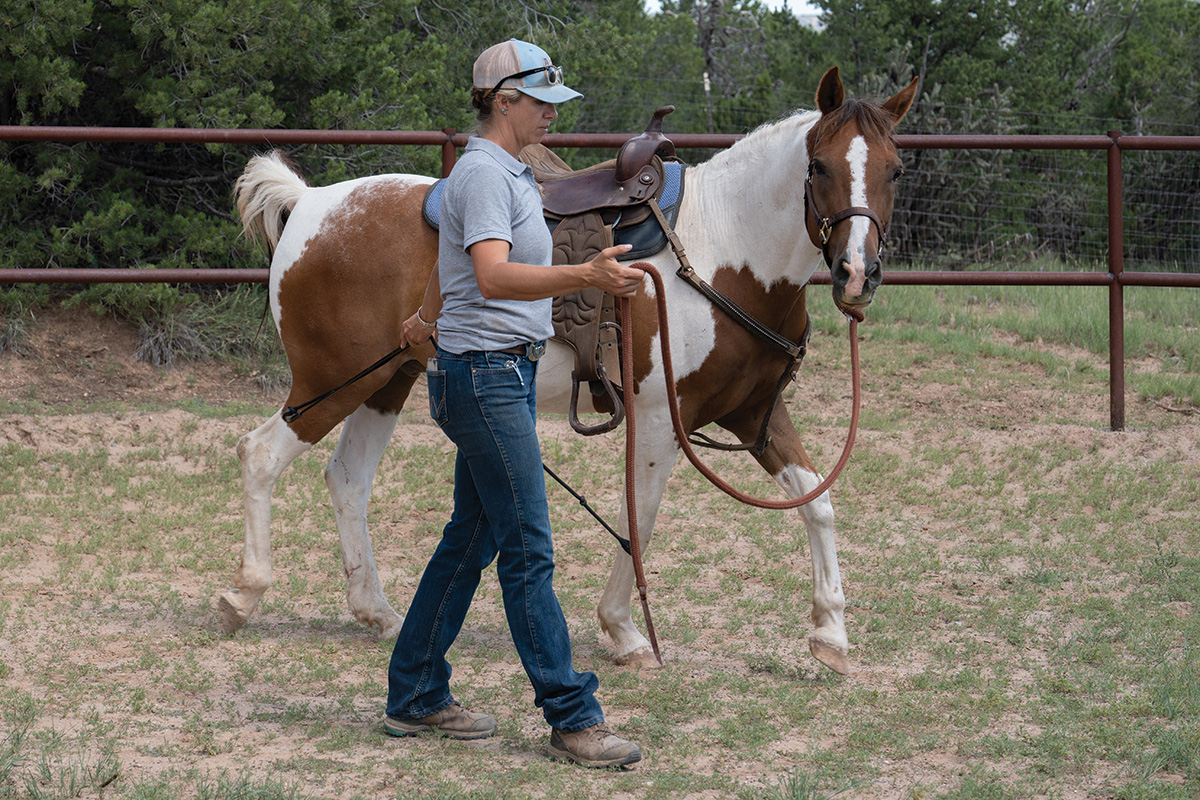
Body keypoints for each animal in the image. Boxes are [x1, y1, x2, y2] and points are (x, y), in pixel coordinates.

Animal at [223, 67, 916, 676]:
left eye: (895, 169)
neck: (724, 252)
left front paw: (831, 635)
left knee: (347, 479)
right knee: (261, 454)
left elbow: (817, 502)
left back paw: (377, 612)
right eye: (819, 167)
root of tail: (311, 203)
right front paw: (625, 631)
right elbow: (642, 517)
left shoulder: (754, 414)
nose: (858, 274)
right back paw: (244, 592)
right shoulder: (662, 420)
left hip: (387, 381)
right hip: (332, 380)